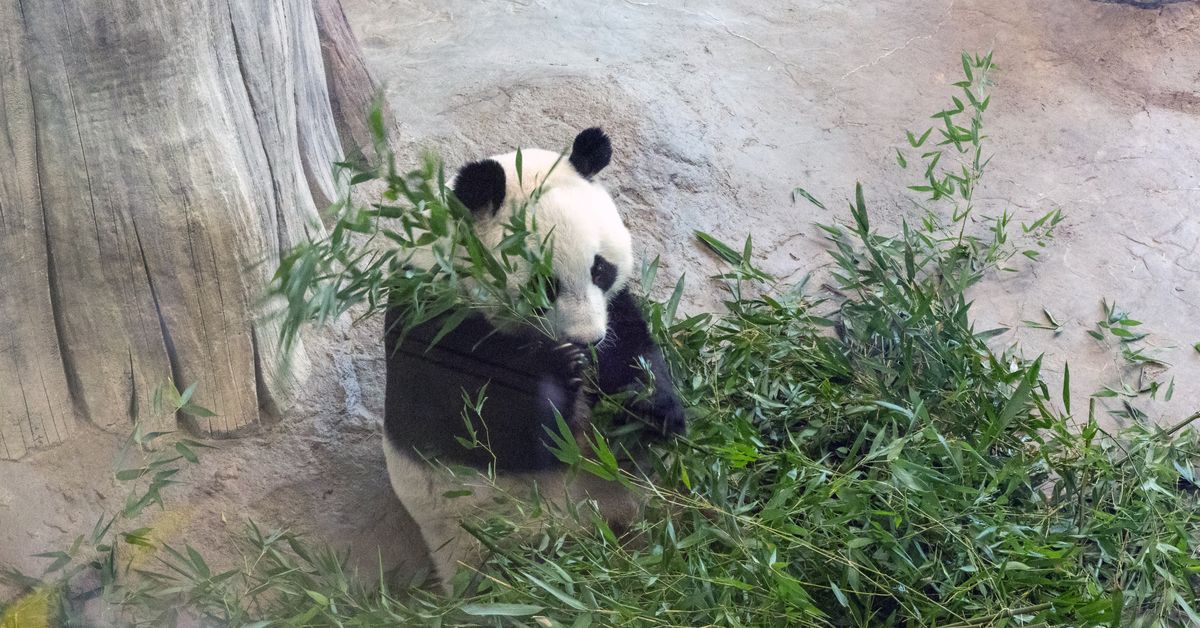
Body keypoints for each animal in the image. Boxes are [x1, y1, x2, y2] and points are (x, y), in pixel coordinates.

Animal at [382, 128, 686, 591]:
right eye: (545, 285)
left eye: (600, 269)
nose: (586, 340)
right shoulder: (428, 319)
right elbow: (480, 426)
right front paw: (557, 376)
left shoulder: (614, 310)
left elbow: (634, 352)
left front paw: (649, 407)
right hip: (494, 537)